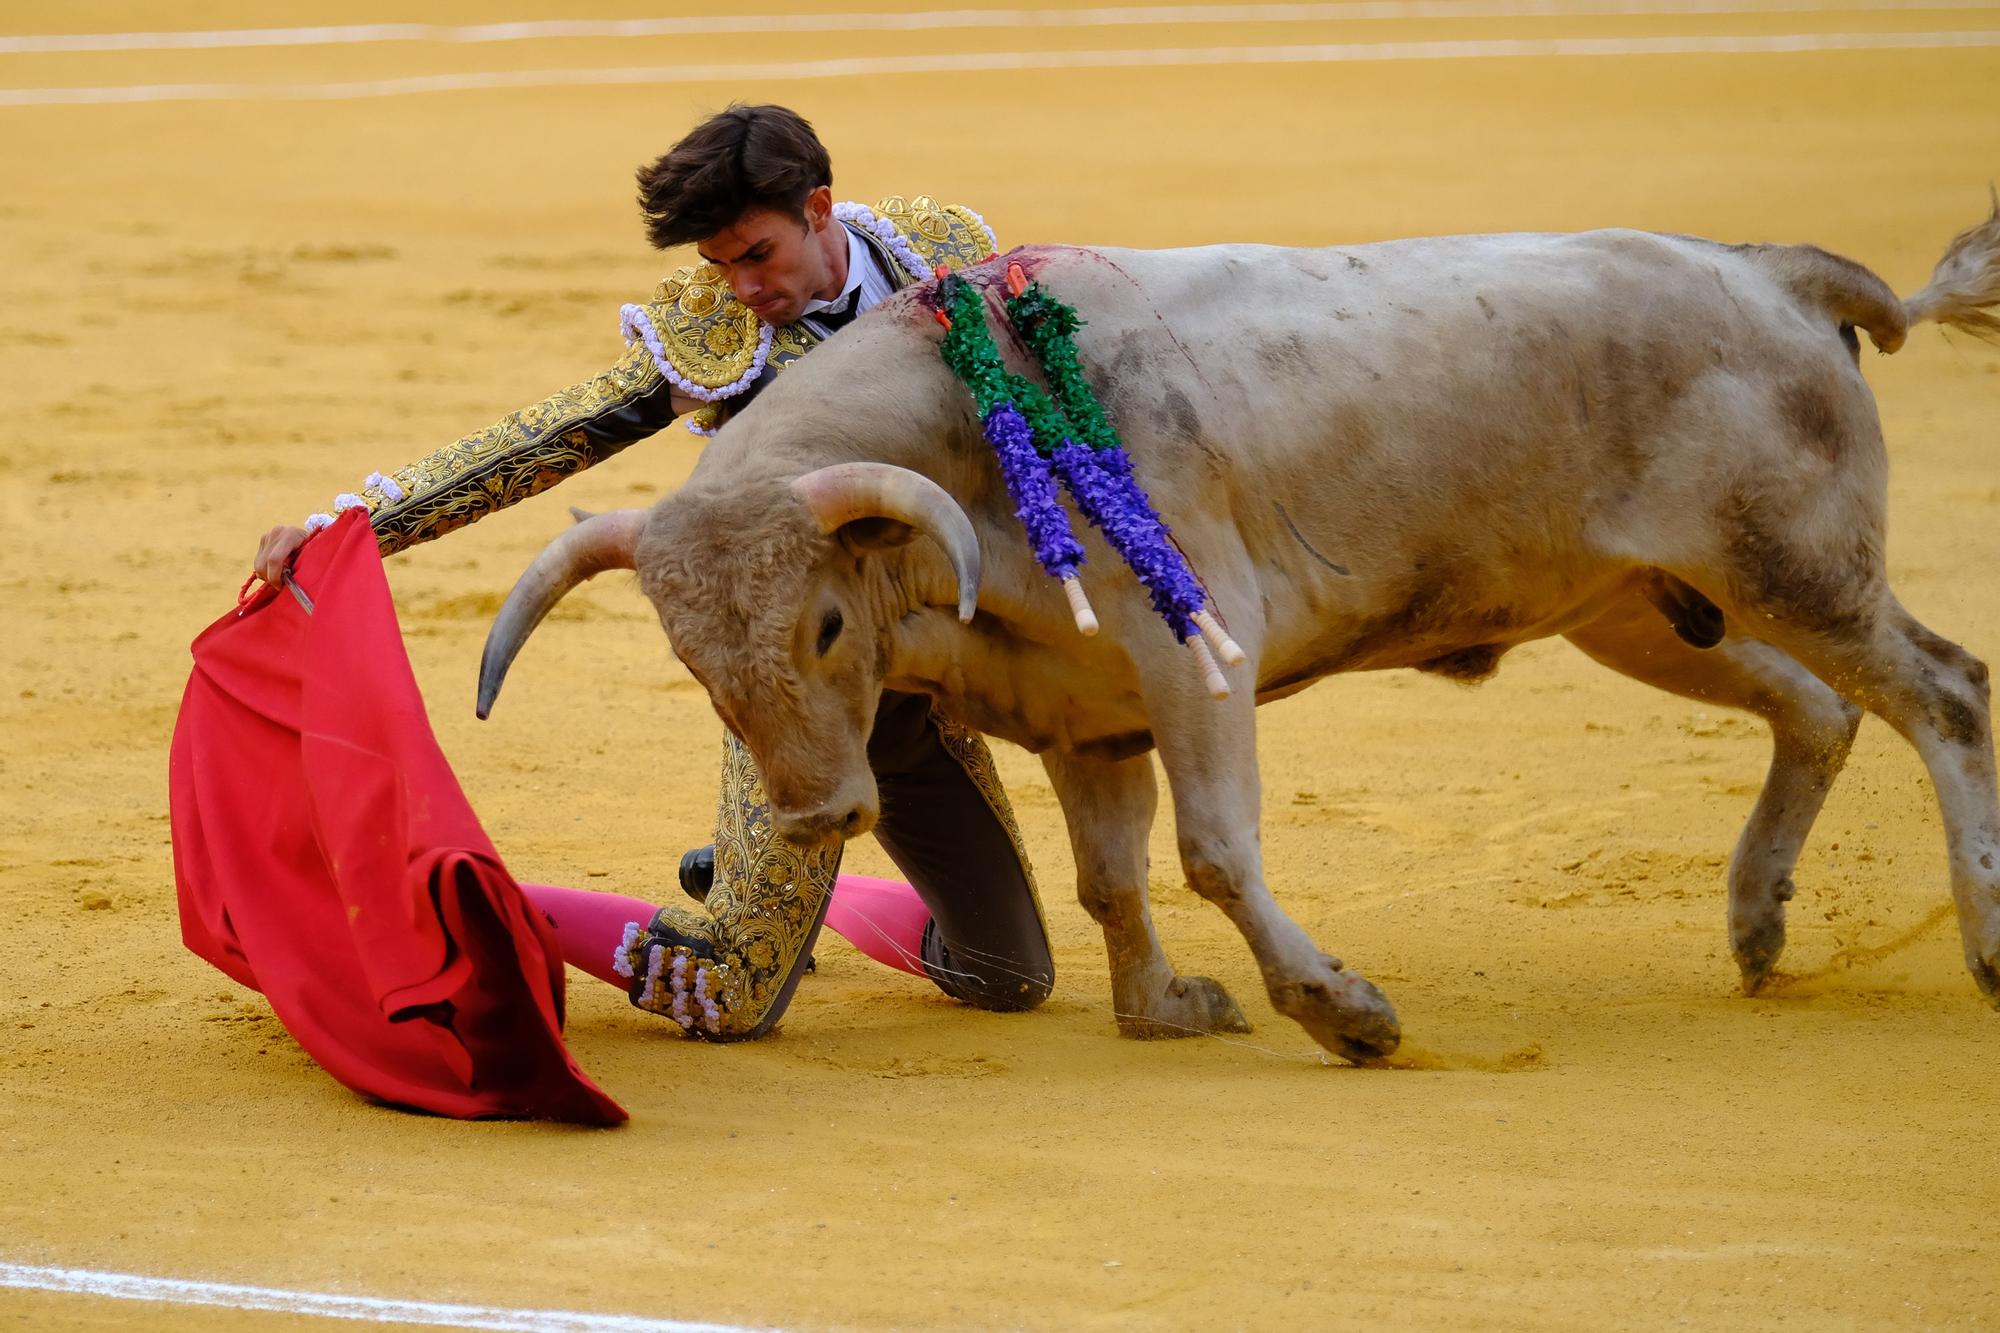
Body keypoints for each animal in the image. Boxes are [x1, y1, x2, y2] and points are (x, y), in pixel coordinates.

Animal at [480, 205, 2000, 1056]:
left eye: (829, 622)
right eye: (693, 663)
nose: (806, 820)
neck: (968, 428)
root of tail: (1778, 277)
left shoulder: (1192, 657)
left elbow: (1214, 850)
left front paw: (1343, 1013)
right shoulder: (1087, 718)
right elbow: (1110, 881)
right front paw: (1165, 1012)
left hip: (1791, 565)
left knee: (1942, 692)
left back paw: (1980, 946)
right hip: (1647, 608)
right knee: (1821, 708)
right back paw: (1754, 925)